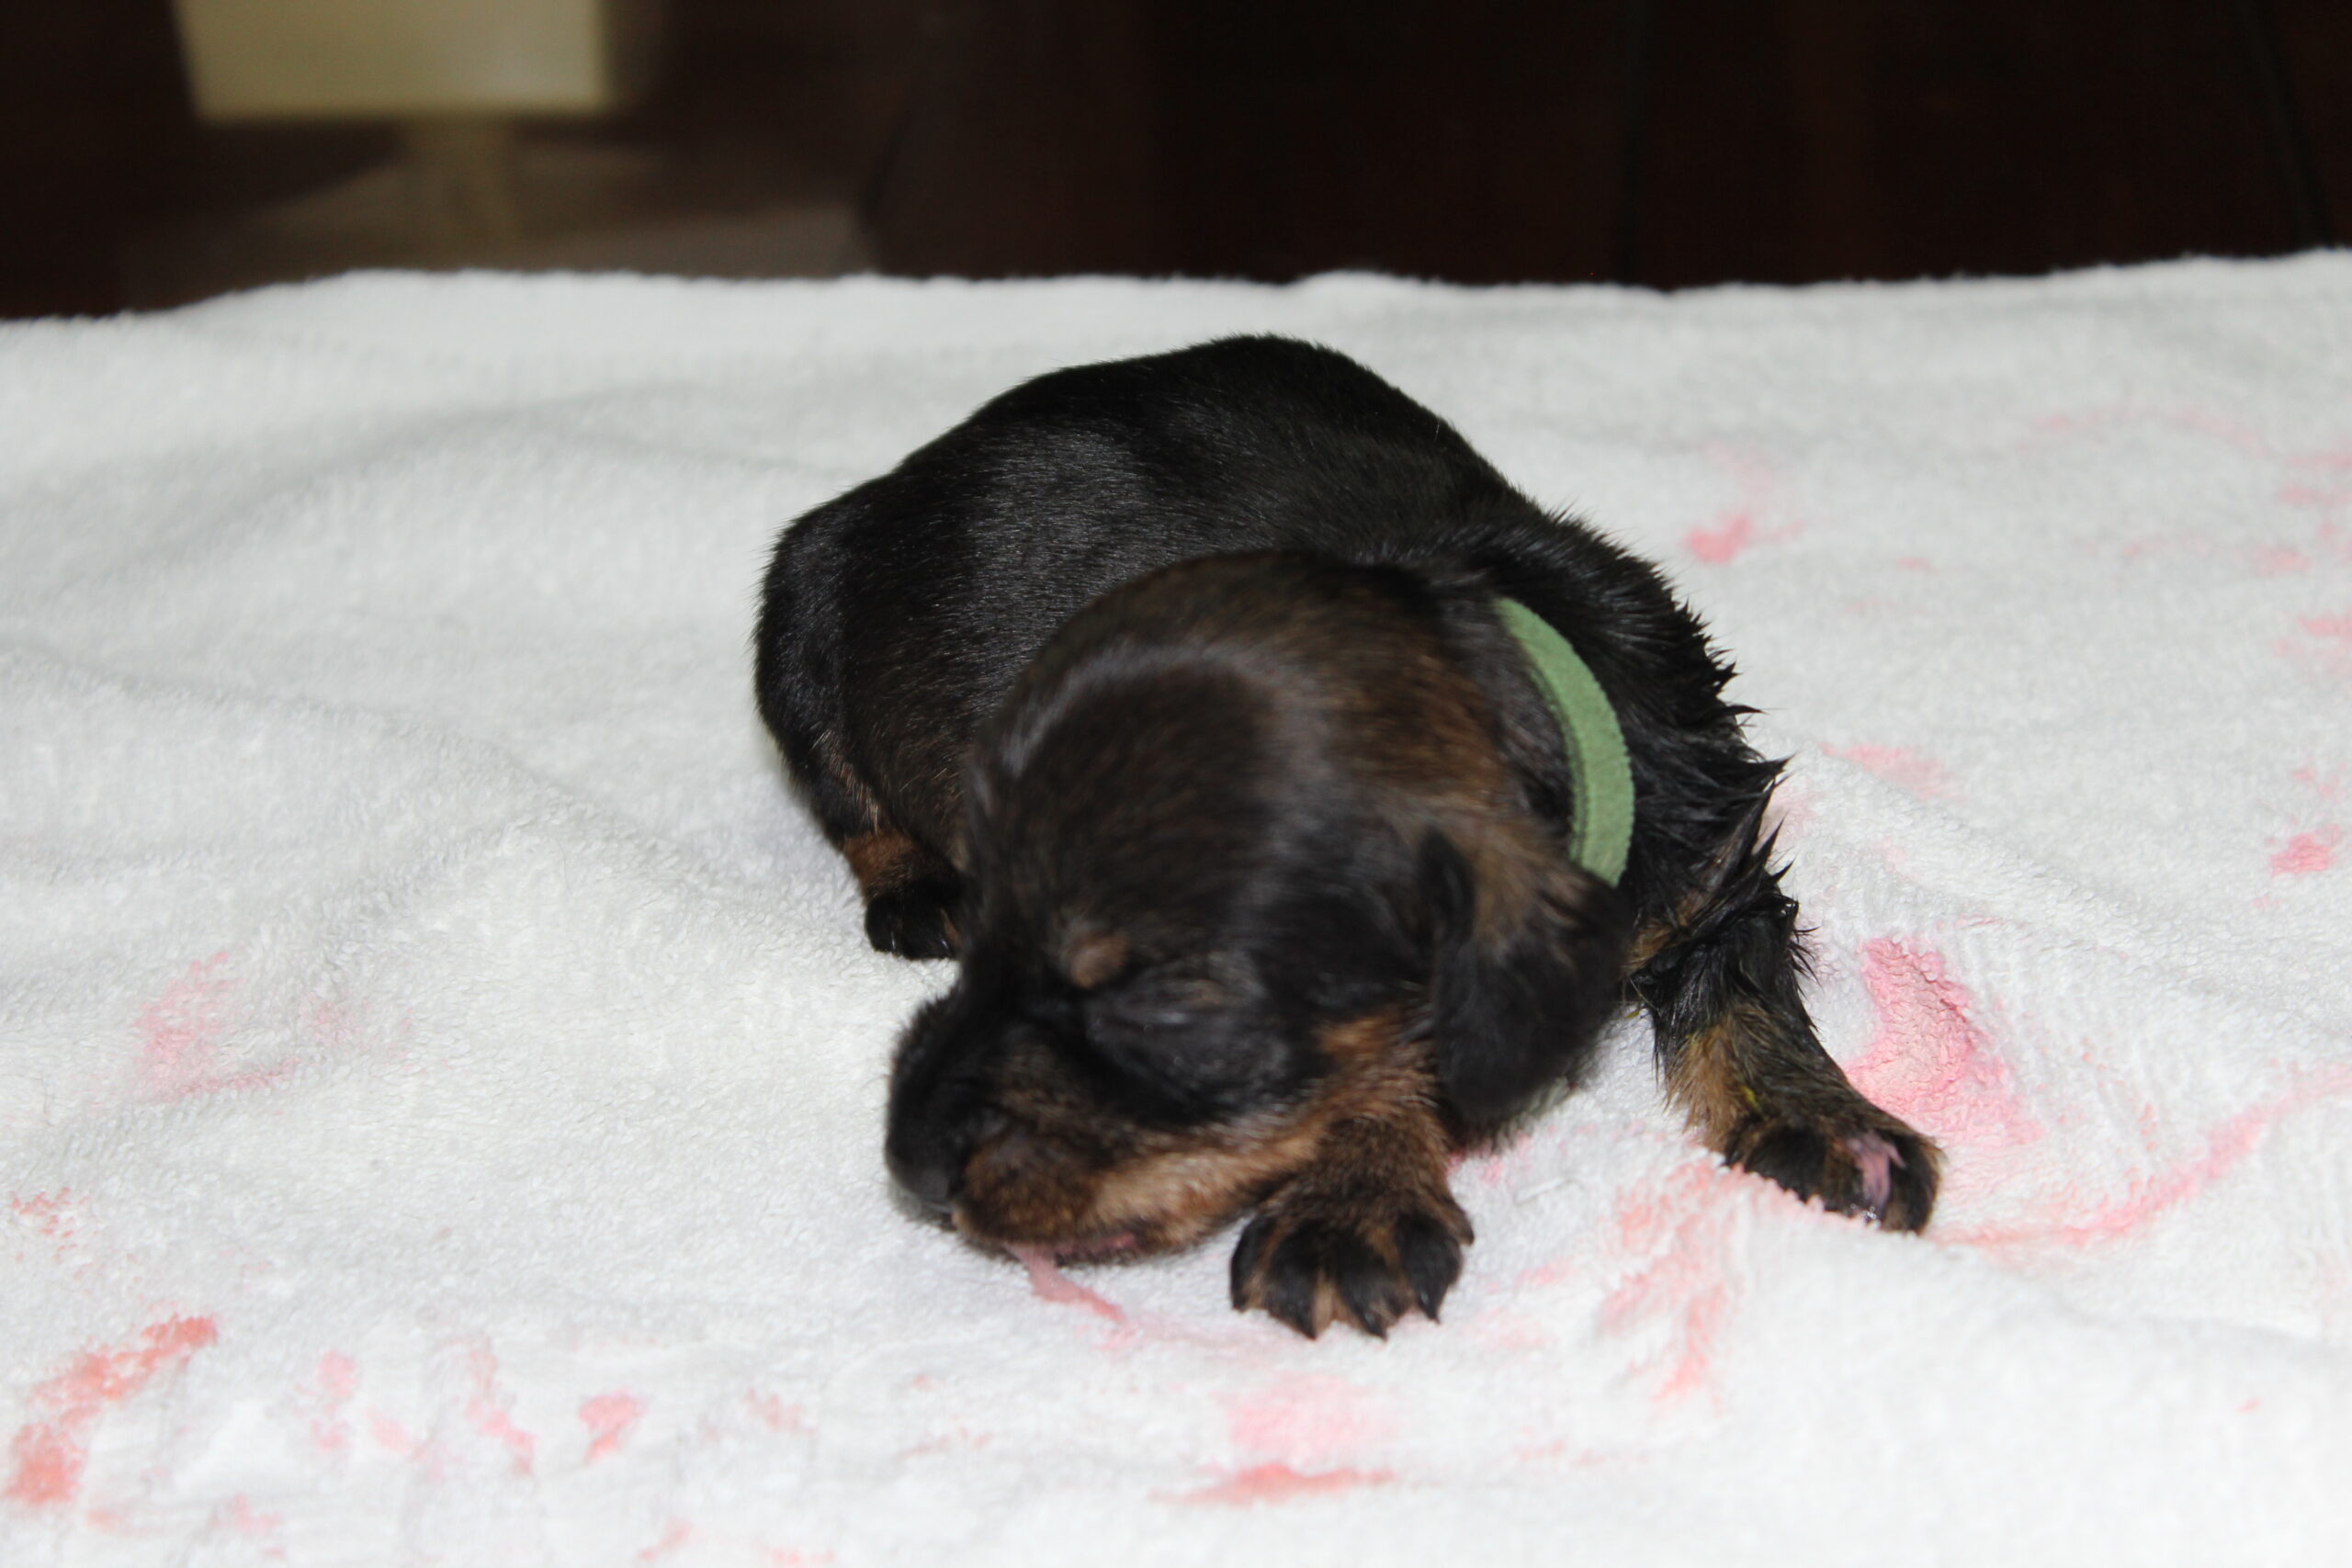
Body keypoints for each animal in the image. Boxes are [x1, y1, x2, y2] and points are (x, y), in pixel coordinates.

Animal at [755, 336, 1937, 1338]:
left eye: (1168, 1011)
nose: (905, 1162)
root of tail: (917, 466)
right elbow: (1390, 1058)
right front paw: (1352, 1205)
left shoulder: (1708, 859)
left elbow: (1749, 995)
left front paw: (1833, 1124)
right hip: (797, 605)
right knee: (844, 793)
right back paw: (911, 887)